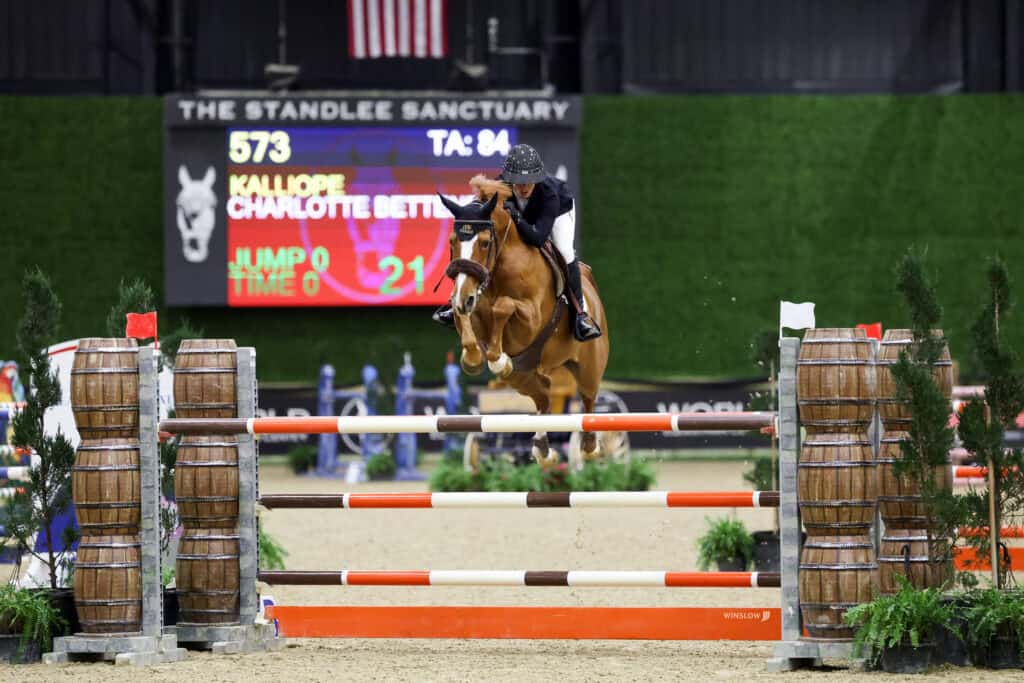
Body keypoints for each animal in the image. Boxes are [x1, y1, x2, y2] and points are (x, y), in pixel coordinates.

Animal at [438, 175, 610, 467]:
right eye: (452, 242)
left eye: (484, 243)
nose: (464, 297)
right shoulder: (470, 303)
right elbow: (468, 320)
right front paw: (473, 359)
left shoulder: (530, 318)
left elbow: (503, 307)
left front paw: (497, 358)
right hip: (522, 377)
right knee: (545, 395)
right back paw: (543, 449)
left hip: (588, 368)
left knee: (588, 400)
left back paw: (589, 446)